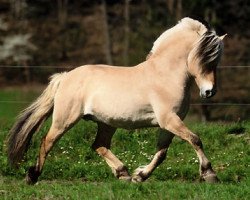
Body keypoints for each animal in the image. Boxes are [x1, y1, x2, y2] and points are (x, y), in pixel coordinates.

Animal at [6, 17, 226, 184]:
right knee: (47, 141)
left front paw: (140, 176)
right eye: (206, 58)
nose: (209, 91)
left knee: (99, 145)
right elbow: (195, 139)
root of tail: (66, 77)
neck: (164, 75)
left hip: (106, 123)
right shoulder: (169, 120)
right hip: (65, 120)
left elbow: (162, 153)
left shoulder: (169, 123)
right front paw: (210, 174)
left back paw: (123, 174)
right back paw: (32, 176)